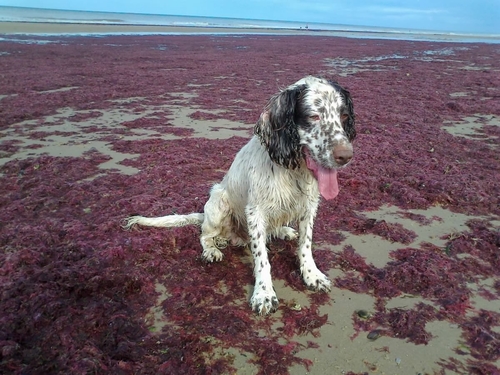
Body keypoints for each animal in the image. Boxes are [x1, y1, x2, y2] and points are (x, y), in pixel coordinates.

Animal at [124, 75, 356, 314]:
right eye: (313, 116)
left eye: (344, 116)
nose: (346, 156)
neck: (293, 170)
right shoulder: (255, 211)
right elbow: (261, 258)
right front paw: (263, 293)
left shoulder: (309, 206)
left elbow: (306, 245)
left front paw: (312, 275)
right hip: (218, 203)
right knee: (204, 235)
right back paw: (212, 249)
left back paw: (283, 231)